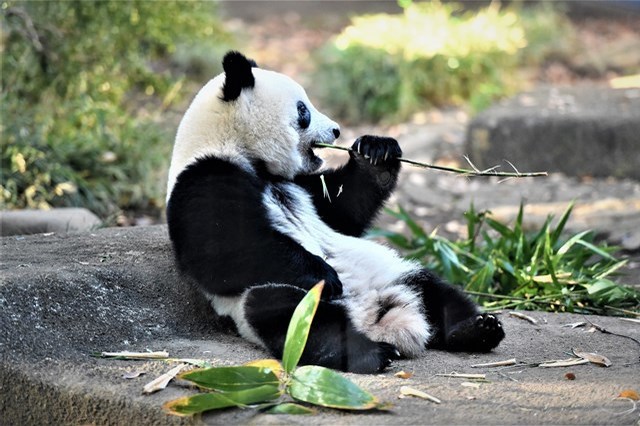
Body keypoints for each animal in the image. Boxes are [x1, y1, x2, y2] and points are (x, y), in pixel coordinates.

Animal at [165, 50, 504, 372]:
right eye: (303, 110)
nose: (337, 131)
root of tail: (376, 319)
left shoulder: (302, 185)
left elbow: (344, 211)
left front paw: (377, 153)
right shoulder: (204, 177)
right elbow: (220, 252)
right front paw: (325, 274)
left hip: (390, 272)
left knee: (434, 291)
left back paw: (477, 329)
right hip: (272, 296)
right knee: (297, 318)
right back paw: (370, 353)